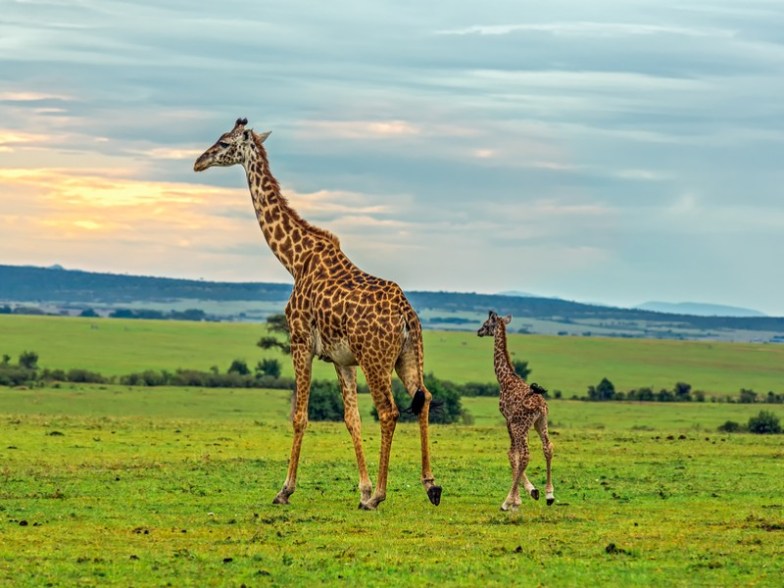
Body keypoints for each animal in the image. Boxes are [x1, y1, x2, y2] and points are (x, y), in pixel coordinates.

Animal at [193, 118, 440, 510]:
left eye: (224, 142)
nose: (198, 162)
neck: (295, 260)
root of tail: (406, 315)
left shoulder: (299, 342)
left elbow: (299, 416)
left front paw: (285, 490)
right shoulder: (342, 359)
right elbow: (351, 419)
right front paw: (362, 488)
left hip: (376, 359)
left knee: (389, 411)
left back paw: (381, 496)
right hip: (407, 355)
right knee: (425, 398)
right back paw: (430, 486)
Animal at [474, 312, 556, 510]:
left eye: (486, 324)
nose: (478, 331)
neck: (504, 378)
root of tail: (540, 406)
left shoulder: (508, 420)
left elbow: (512, 455)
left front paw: (516, 499)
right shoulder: (515, 423)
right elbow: (515, 454)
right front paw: (532, 491)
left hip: (522, 425)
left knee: (526, 455)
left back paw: (506, 502)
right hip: (541, 422)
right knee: (548, 447)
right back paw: (550, 495)